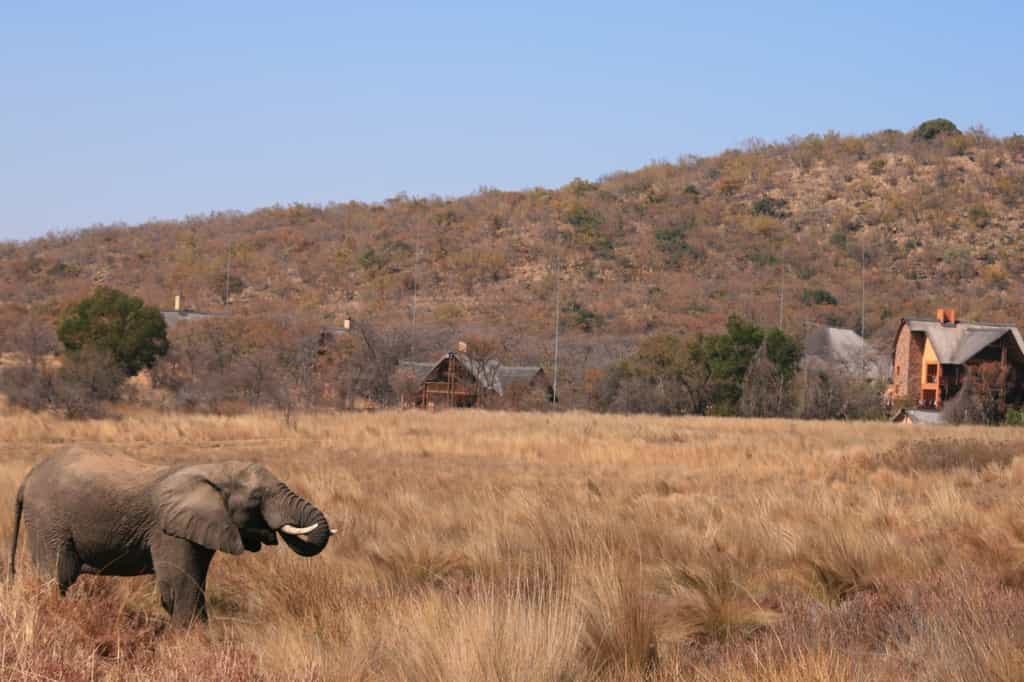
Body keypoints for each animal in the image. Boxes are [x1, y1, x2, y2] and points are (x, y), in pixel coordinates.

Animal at [8, 447, 335, 627]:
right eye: (257, 497)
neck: (214, 469)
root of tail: (27, 478)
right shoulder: (168, 531)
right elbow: (179, 588)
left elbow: (196, 584)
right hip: (48, 520)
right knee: (56, 575)